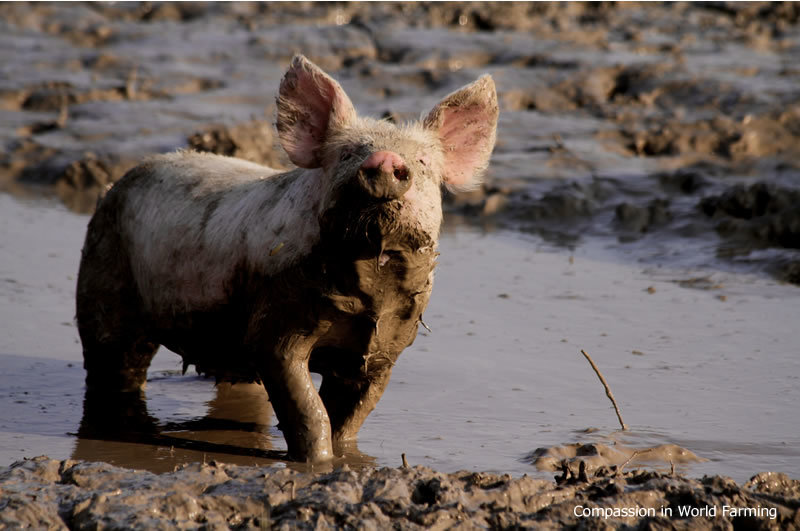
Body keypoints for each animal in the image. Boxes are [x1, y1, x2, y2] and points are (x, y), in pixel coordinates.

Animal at [76, 54, 500, 462]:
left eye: (423, 164)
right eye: (347, 155)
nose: (383, 160)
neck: (368, 286)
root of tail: (116, 184)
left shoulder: (387, 345)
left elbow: (351, 413)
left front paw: (344, 458)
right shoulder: (276, 322)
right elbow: (307, 407)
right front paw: (317, 463)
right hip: (102, 277)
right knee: (112, 363)